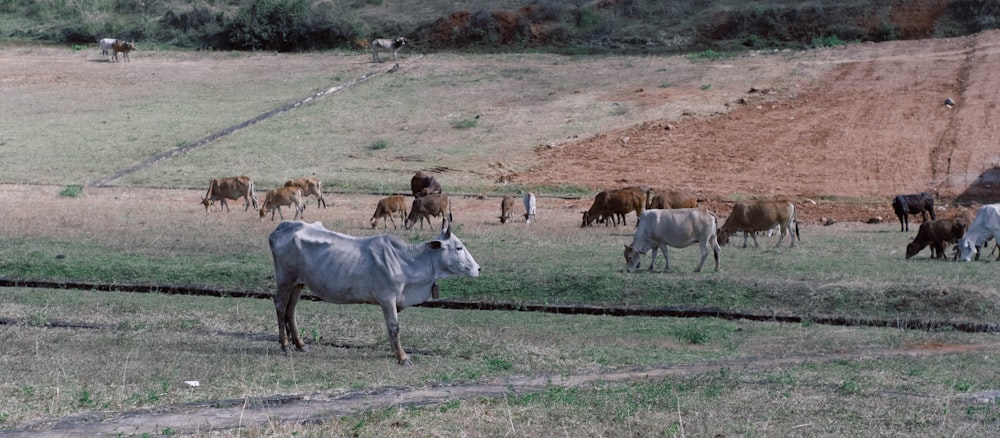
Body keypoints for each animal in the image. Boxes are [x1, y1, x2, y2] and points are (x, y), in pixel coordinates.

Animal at [270, 221, 480, 364]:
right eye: (459, 247)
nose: (478, 268)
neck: (405, 261)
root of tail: (284, 225)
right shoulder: (388, 299)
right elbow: (394, 327)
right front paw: (402, 357)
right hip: (285, 279)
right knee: (280, 306)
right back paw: (285, 345)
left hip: (298, 283)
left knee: (291, 310)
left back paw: (300, 344)